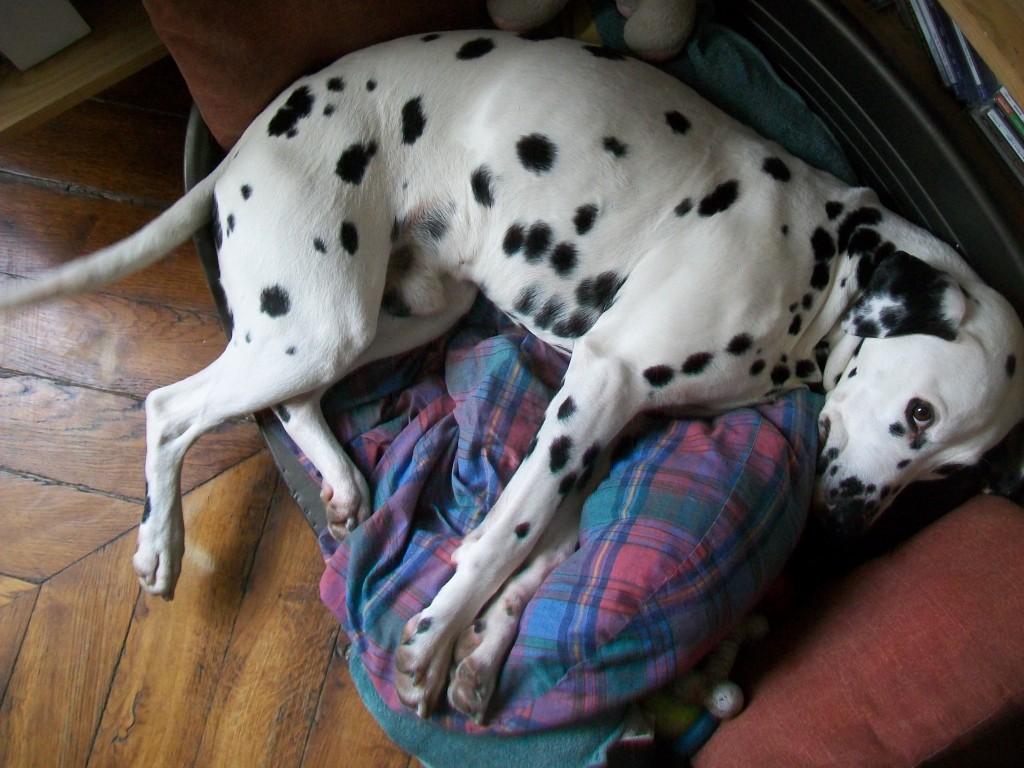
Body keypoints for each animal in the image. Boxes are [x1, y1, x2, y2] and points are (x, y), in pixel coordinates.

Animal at [2, 31, 1024, 720]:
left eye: (951, 474)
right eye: (918, 413)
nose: (848, 529)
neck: (819, 256)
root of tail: (242, 145)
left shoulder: (606, 424)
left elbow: (548, 553)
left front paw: (483, 655)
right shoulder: (600, 386)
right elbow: (507, 534)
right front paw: (431, 641)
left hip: (393, 316)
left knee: (294, 403)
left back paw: (337, 481)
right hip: (319, 323)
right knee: (170, 407)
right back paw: (159, 544)